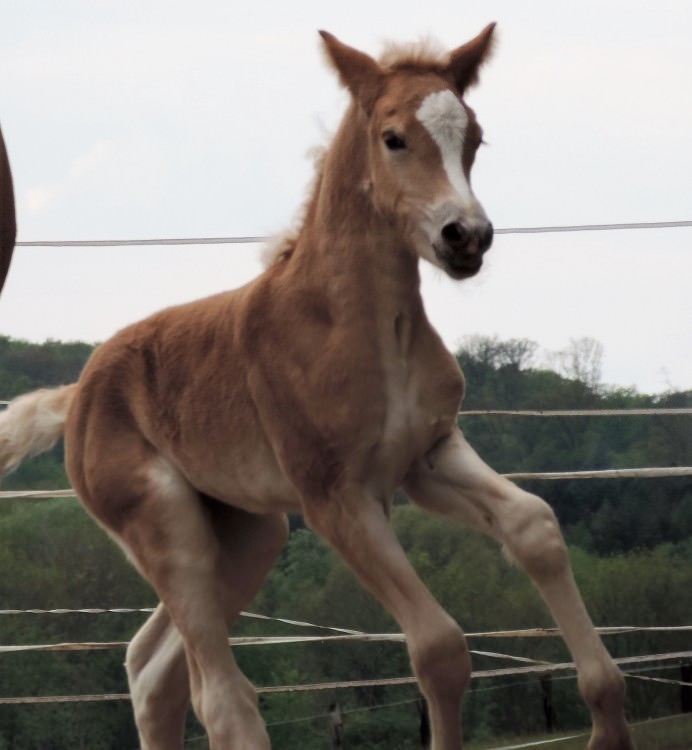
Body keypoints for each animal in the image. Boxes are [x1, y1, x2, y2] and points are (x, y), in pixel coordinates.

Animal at [0, 25, 636, 750]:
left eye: (474, 137)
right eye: (393, 137)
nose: (467, 237)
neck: (362, 327)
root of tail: (77, 395)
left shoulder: (428, 456)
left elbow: (535, 526)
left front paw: (608, 722)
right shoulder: (336, 497)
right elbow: (439, 646)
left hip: (247, 534)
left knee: (151, 669)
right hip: (166, 526)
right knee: (218, 696)